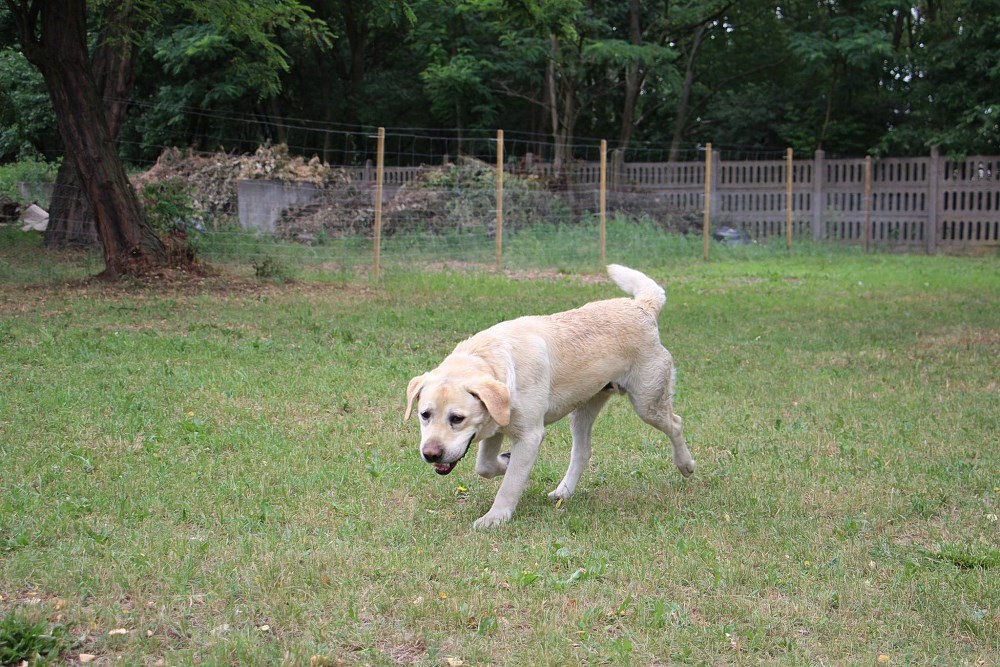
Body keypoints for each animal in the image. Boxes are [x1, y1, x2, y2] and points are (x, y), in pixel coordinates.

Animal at [404, 265, 695, 528]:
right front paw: (505, 462)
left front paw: (495, 517)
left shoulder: (530, 436)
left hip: (648, 404)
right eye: (424, 415)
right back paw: (564, 491)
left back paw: (685, 464)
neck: (494, 361)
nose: (431, 454)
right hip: (582, 409)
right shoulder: (496, 425)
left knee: (676, 423)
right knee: (583, 451)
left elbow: (509, 484)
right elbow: (485, 467)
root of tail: (641, 307)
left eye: (457, 418)